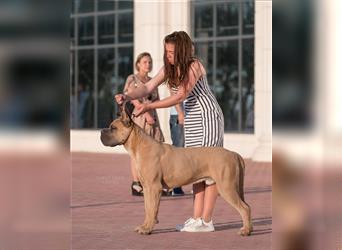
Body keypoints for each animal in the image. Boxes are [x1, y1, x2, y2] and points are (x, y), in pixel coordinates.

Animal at [100, 104, 252, 235]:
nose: (101, 132)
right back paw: (249, 228)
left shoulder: (154, 187)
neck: (140, 145)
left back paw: (245, 231)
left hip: (227, 187)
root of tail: (234, 154)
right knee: (247, 206)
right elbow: (148, 208)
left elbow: (152, 209)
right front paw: (145, 226)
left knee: (244, 208)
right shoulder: (147, 188)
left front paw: (148, 229)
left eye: (113, 128)